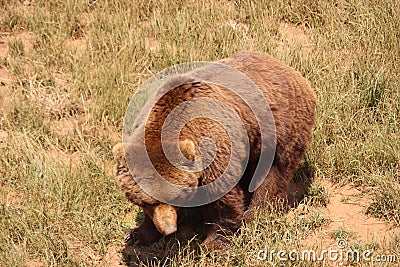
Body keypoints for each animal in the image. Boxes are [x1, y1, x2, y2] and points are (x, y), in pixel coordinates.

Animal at [112, 51, 316, 248]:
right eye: (148, 202)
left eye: (175, 197)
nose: (169, 229)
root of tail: (290, 71)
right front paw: (136, 234)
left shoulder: (215, 146)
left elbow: (223, 197)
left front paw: (216, 242)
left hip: (279, 128)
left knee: (274, 173)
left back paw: (255, 216)